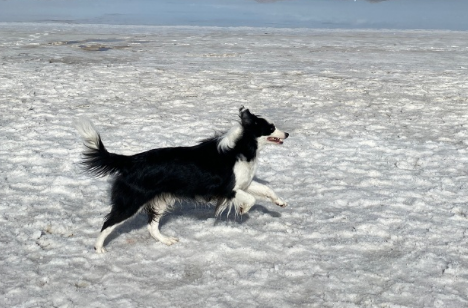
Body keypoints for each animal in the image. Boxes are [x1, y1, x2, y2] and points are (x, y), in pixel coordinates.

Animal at [76, 107, 288, 251]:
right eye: (271, 128)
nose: (287, 133)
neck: (241, 146)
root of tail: (130, 160)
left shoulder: (244, 184)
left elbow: (265, 190)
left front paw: (280, 202)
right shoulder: (226, 189)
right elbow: (250, 199)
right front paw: (243, 209)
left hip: (160, 200)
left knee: (151, 226)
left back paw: (166, 240)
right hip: (132, 201)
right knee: (108, 223)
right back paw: (99, 249)